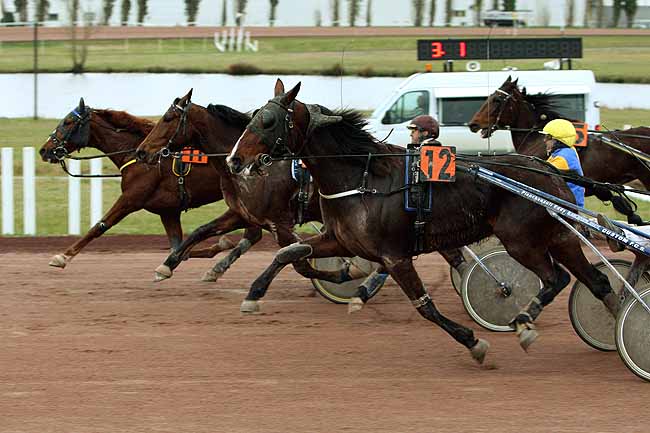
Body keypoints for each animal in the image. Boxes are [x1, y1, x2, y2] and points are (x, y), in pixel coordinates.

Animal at [38, 99, 237, 270]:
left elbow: (101, 225)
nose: (44, 150)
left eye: (68, 122)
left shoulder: (131, 198)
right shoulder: (168, 211)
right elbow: (178, 248)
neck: (137, 155)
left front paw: (62, 257)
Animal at [225, 79, 620, 362]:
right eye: (254, 115)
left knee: (555, 278)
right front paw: (254, 295)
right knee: (593, 281)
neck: (361, 177)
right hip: (558, 237)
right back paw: (613, 325)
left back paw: (525, 322)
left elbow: (425, 306)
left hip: (521, 240)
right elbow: (289, 253)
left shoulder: (395, 256)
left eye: (268, 121)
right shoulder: (340, 239)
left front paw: (474, 343)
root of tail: (547, 169)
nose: (233, 159)